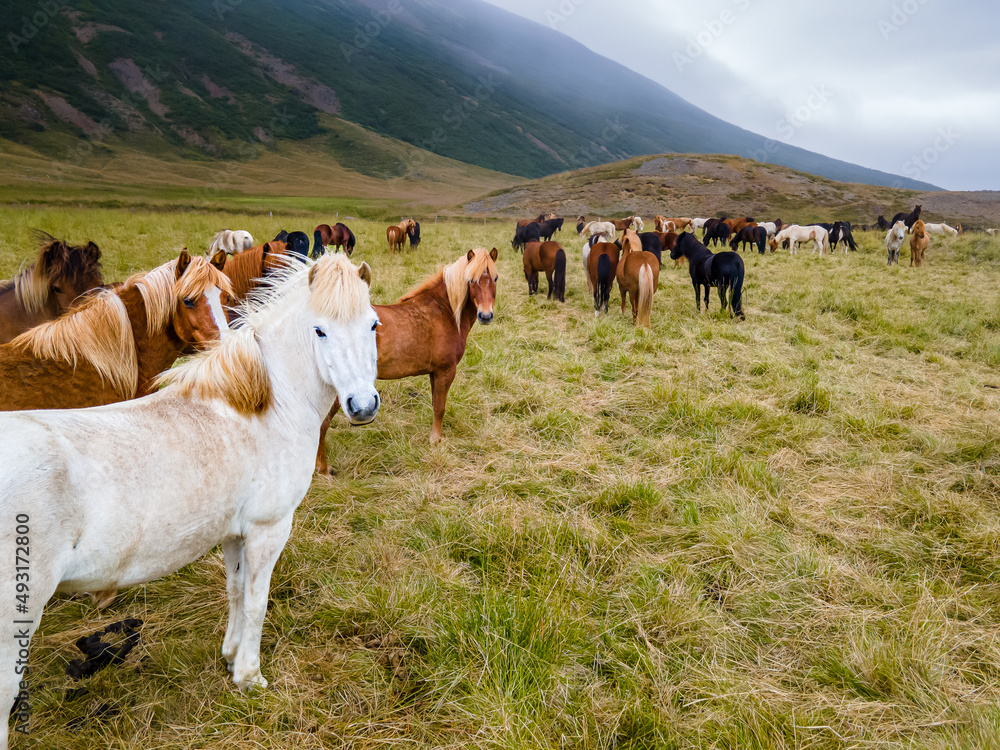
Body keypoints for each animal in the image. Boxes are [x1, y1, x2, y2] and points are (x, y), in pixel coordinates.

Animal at [315, 248, 498, 473]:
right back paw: (323, 470)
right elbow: (440, 407)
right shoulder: (445, 371)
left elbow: (436, 405)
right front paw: (436, 441)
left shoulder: (434, 373)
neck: (442, 311)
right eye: (471, 280)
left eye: (495, 278)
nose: (485, 315)